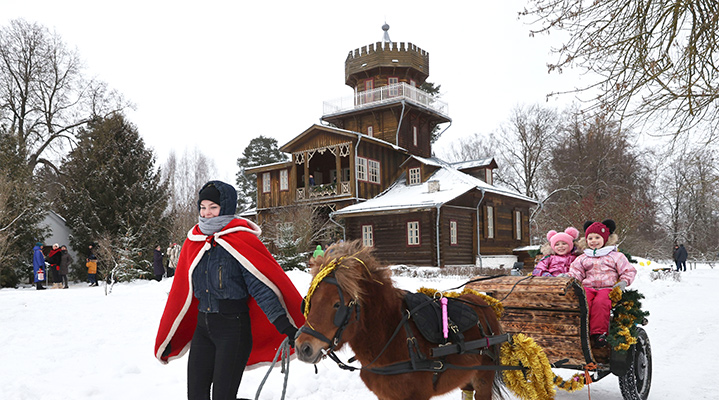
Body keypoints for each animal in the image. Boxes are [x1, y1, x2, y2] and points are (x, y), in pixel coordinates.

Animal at [296, 241, 510, 400]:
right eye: (309, 301)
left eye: (337, 305)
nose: (302, 348)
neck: (391, 335)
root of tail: (483, 302)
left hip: (483, 377)